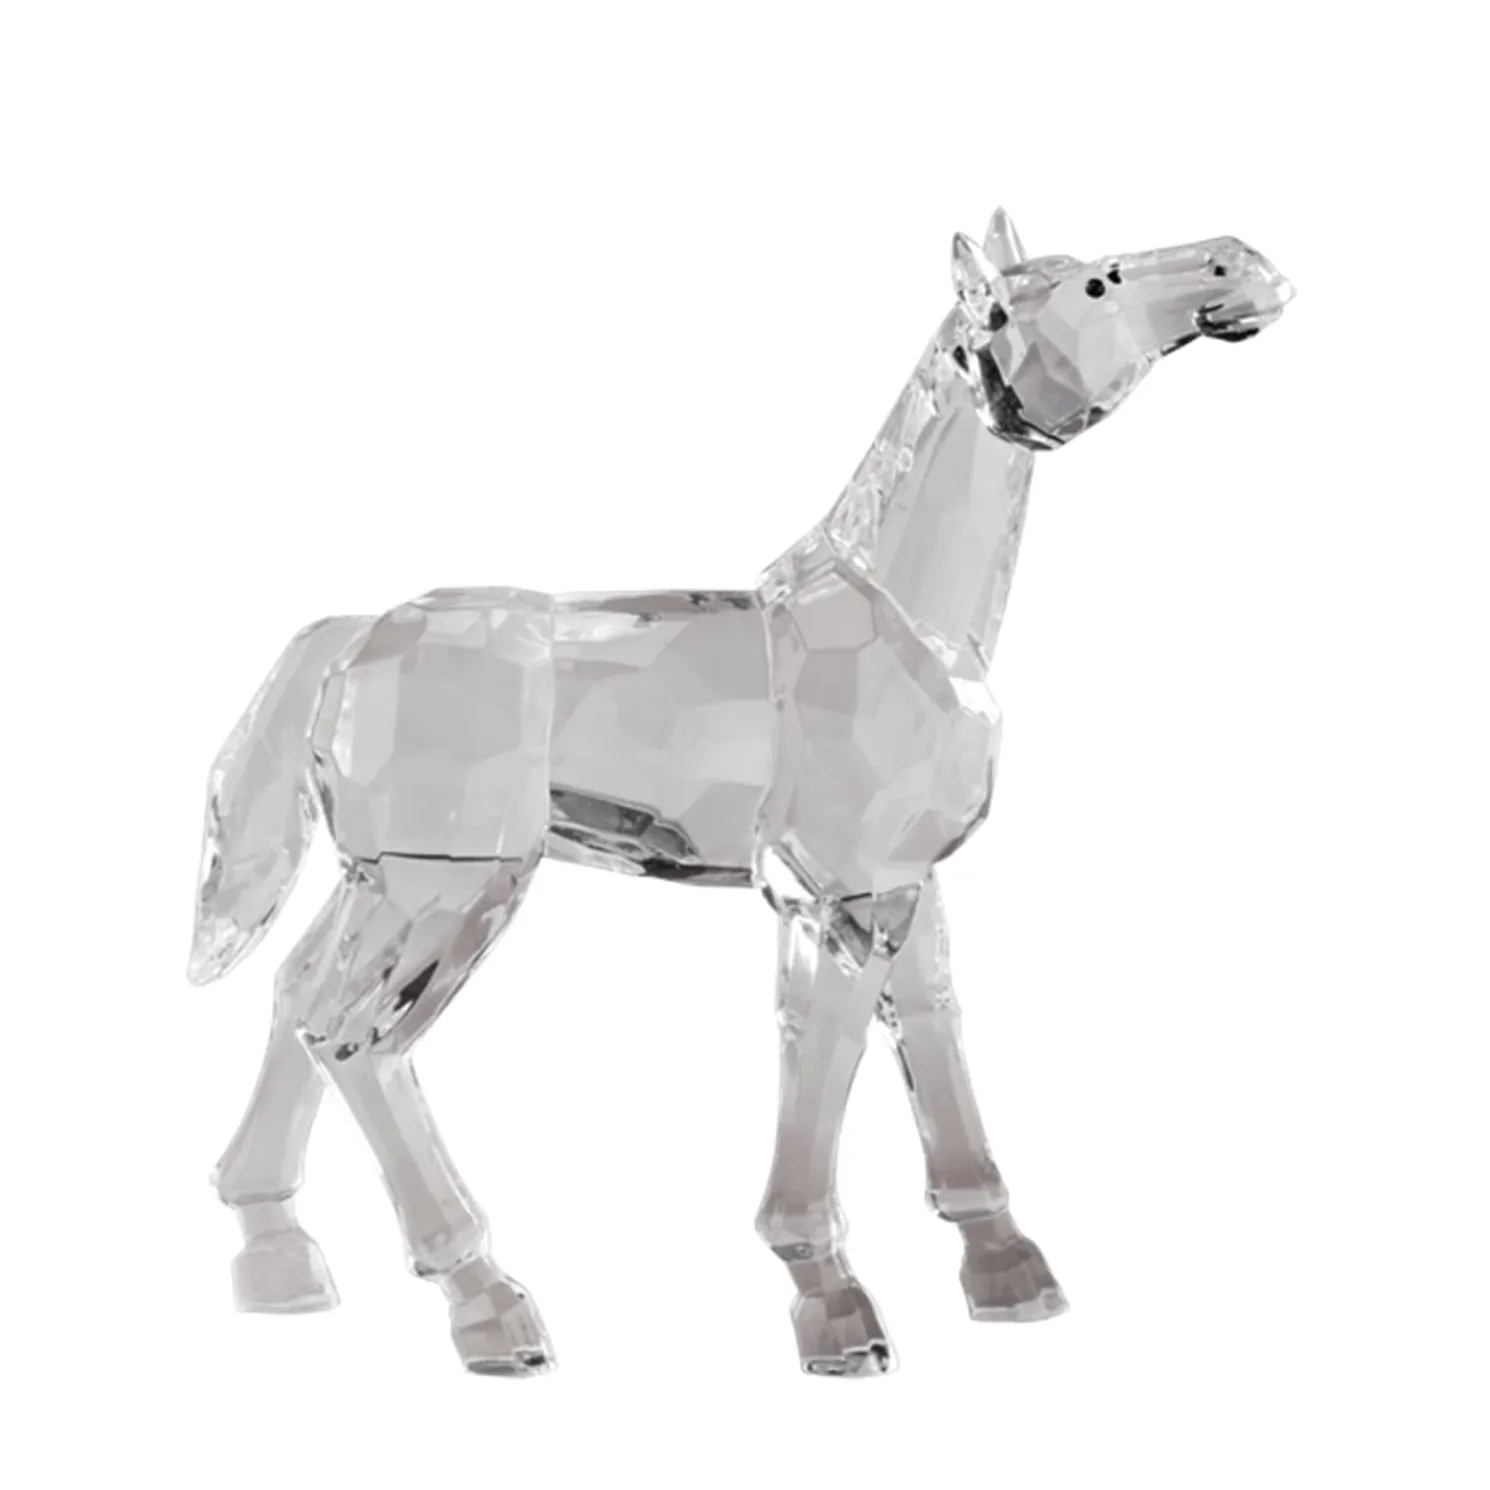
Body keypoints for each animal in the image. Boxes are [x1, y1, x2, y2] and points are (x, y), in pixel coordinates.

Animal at [190, 206, 1292, 1375]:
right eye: (1095, 284)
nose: (1242, 267)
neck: (909, 623)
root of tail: (351, 637)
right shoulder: (838, 895)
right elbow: (826, 1045)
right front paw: (833, 1305)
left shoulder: (910, 884)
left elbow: (931, 1028)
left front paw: (1005, 1271)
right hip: (447, 888)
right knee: (354, 1037)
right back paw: (489, 1306)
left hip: (380, 881)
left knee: (294, 997)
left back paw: (277, 1258)